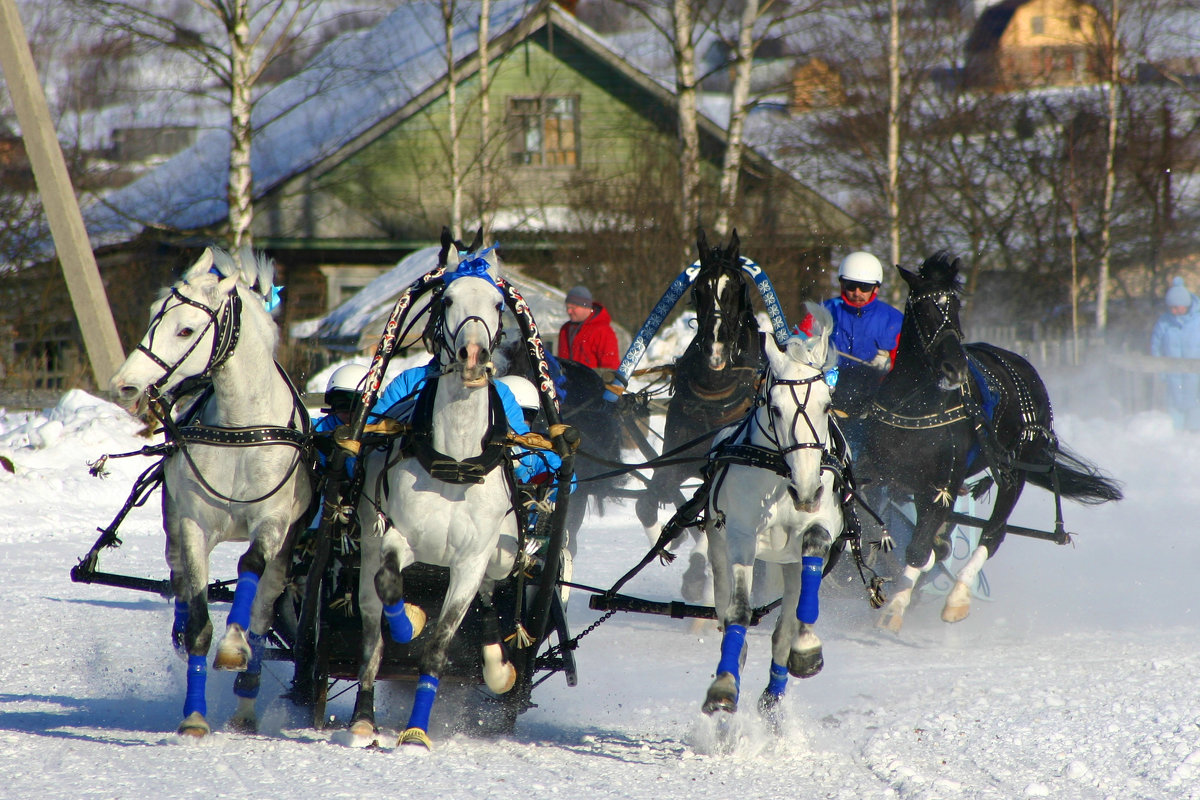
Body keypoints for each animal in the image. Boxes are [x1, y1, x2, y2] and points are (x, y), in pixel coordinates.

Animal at [109, 245, 312, 738]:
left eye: (185, 329)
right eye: (153, 315)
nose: (124, 385)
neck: (241, 428)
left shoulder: (273, 524)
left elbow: (250, 573)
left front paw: (236, 646)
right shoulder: (192, 524)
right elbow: (200, 619)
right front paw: (195, 716)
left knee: (263, 610)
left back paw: (245, 704)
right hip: (172, 525)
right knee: (180, 580)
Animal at [348, 237, 516, 753]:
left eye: (498, 304)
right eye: (447, 300)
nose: (473, 356)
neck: (454, 463)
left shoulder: (472, 560)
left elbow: (440, 647)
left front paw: (417, 731)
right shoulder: (399, 535)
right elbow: (390, 584)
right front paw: (410, 621)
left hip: (502, 554)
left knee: (492, 593)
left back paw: (497, 664)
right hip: (368, 545)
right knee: (371, 632)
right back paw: (363, 718)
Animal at [633, 230, 763, 599]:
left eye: (735, 286)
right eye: (698, 290)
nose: (715, 350)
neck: (716, 391)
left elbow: (713, 515)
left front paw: (695, 571)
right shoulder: (675, 463)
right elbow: (646, 503)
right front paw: (667, 545)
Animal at [700, 309, 840, 714]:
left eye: (827, 405)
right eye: (776, 408)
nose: (807, 490)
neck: (780, 478)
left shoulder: (825, 522)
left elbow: (815, 539)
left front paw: (807, 647)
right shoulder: (741, 537)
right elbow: (738, 611)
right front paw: (724, 685)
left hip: (790, 563)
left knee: (785, 627)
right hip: (719, 548)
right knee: (727, 613)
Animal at [859, 253, 1118, 628]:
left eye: (954, 306)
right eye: (923, 308)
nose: (955, 368)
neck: (914, 405)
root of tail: (1022, 367)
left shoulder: (940, 488)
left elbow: (919, 548)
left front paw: (896, 605)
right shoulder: (879, 476)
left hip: (1014, 471)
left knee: (993, 533)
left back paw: (958, 596)